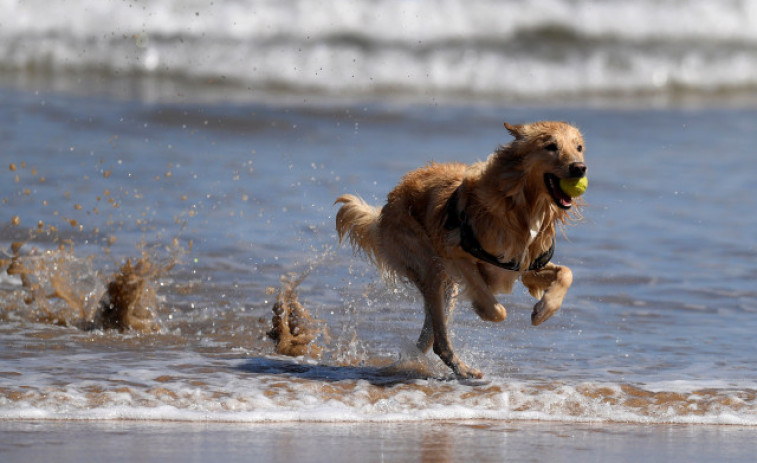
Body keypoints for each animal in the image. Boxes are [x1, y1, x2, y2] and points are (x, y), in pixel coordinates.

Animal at [334, 121, 588, 378]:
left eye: (578, 147)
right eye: (551, 146)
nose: (579, 168)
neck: (522, 206)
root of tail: (386, 207)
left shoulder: (525, 266)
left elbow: (566, 273)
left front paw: (543, 310)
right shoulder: (454, 253)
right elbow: (496, 308)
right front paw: (483, 309)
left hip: (444, 286)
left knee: (429, 337)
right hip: (430, 267)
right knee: (439, 338)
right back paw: (463, 370)